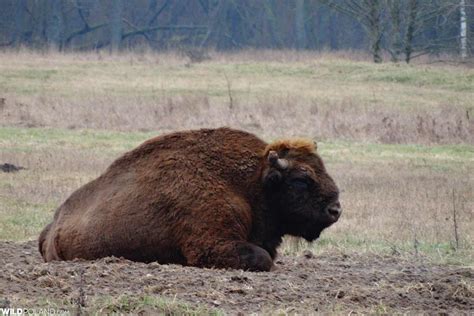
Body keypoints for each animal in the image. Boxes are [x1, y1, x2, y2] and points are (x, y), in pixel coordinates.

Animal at [38, 128, 340, 272]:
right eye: (301, 179)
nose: (335, 210)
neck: (251, 182)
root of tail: (52, 227)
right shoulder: (211, 243)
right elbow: (262, 258)